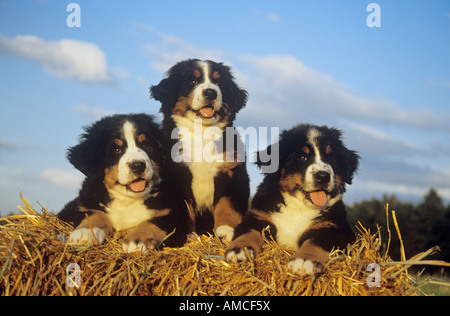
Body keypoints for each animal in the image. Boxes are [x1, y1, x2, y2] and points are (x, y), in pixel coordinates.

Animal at [57, 113, 188, 252]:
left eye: (146, 146)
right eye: (116, 150)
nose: (138, 166)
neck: (127, 200)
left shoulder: (174, 214)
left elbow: (156, 221)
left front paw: (137, 239)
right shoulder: (85, 205)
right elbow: (95, 213)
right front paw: (85, 232)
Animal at [151, 59, 250, 242]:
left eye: (219, 83)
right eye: (192, 81)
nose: (211, 92)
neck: (202, 133)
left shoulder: (231, 171)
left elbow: (227, 203)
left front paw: (226, 230)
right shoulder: (177, 174)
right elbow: (185, 207)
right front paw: (189, 235)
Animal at [227, 123, 360, 276]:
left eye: (331, 157)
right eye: (302, 157)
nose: (323, 176)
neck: (299, 207)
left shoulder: (330, 228)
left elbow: (314, 242)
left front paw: (304, 260)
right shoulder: (258, 216)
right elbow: (248, 232)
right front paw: (239, 249)